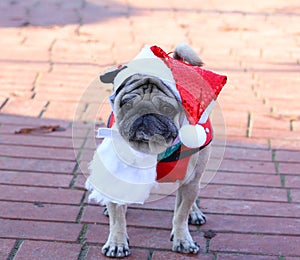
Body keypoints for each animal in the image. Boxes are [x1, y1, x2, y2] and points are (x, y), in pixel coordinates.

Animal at [85, 43, 226, 256]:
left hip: (195, 176)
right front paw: (117, 243)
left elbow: (180, 214)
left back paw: (194, 213)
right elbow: (117, 218)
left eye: (167, 109)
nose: (144, 113)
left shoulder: (189, 182)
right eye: (126, 104)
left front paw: (183, 240)